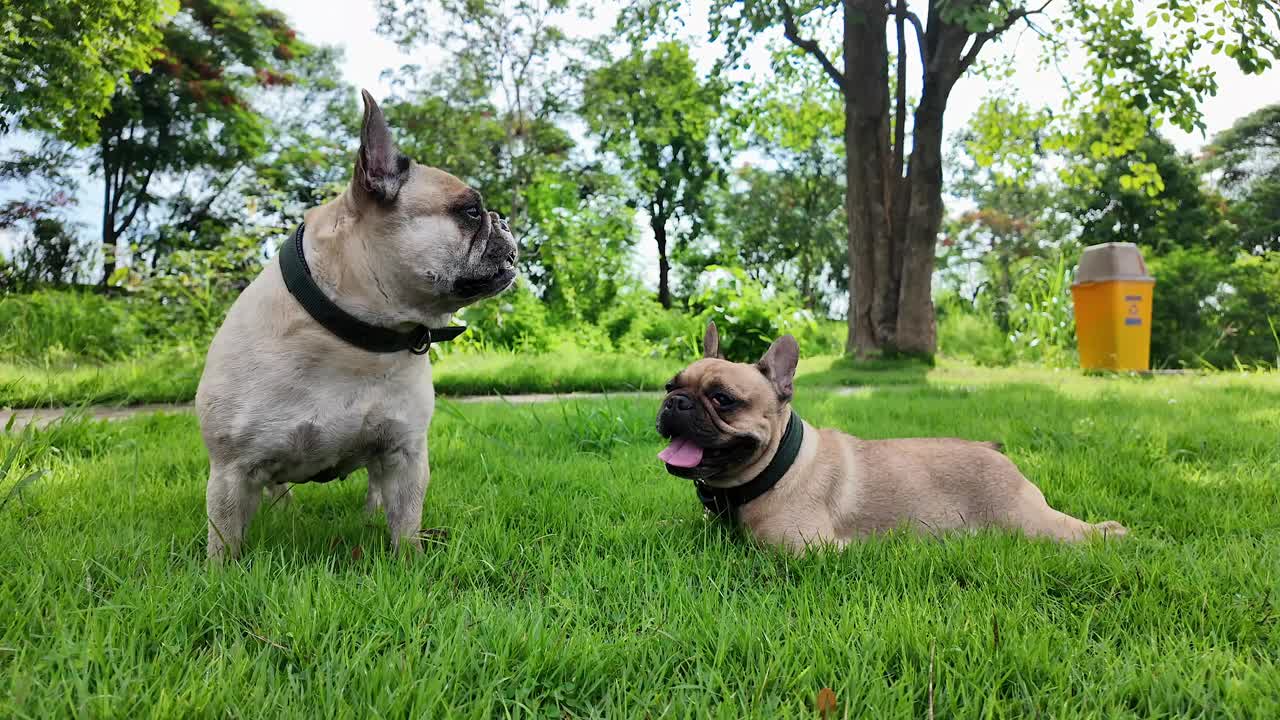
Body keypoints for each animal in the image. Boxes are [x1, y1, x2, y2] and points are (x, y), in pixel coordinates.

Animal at [197, 90, 517, 561]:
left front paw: (409, 562)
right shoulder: (231, 470)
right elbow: (225, 540)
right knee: (277, 489)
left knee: (374, 485)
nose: (504, 220)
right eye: (472, 213)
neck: (357, 339)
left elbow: (406, 521)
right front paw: (222, 575)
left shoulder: (405, 454)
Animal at [655, 322, 1126, 550]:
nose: (676, 403)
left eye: (722, 399)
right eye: (669, 385)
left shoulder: (802, 550)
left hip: (1029, 523)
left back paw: (1112, 534)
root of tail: (995, 453)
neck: (776, 468)